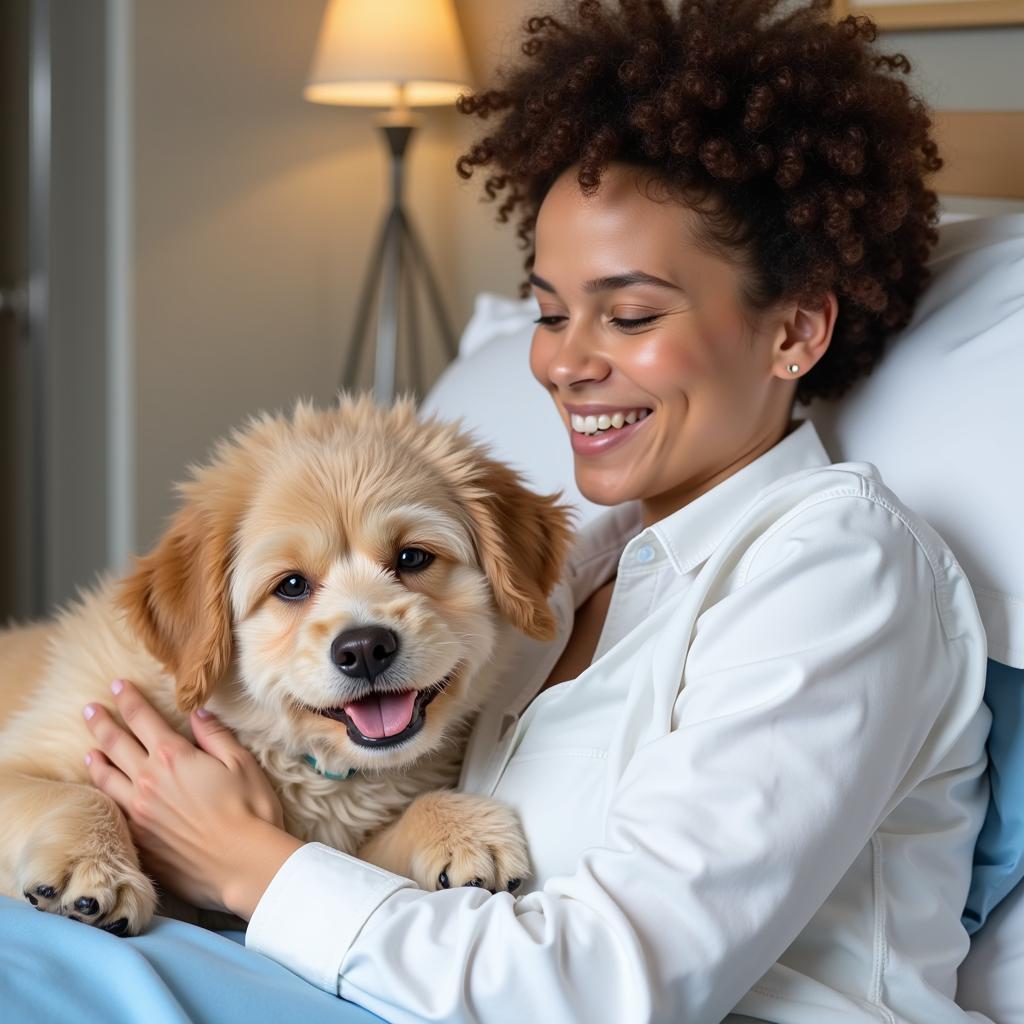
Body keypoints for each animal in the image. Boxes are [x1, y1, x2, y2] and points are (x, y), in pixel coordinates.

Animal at [0, 397, 573, 937]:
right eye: (291, 585)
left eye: (412, 558)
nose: (365, 648)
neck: (301, 759)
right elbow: (78, 791)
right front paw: (97, 867)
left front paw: (463, 828)